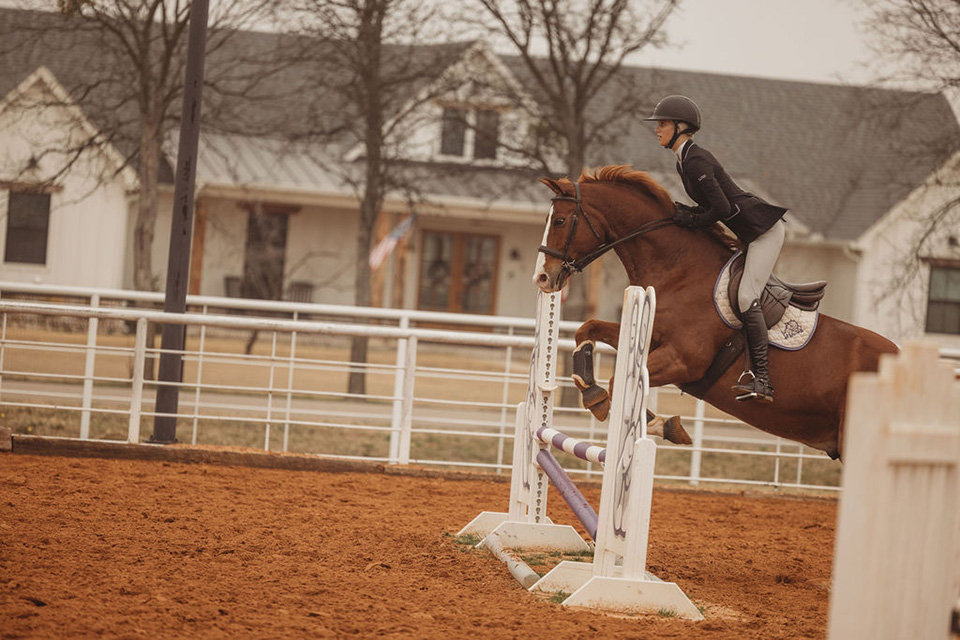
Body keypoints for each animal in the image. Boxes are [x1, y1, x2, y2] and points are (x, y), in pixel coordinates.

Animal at [532, 165, 900, 460]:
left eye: (560, 220)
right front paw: (594, 394)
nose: (543, 278)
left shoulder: (683, 360)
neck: (679, 272)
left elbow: (618, 381)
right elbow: (588, 328)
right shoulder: (650, 339)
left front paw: (662, 424)